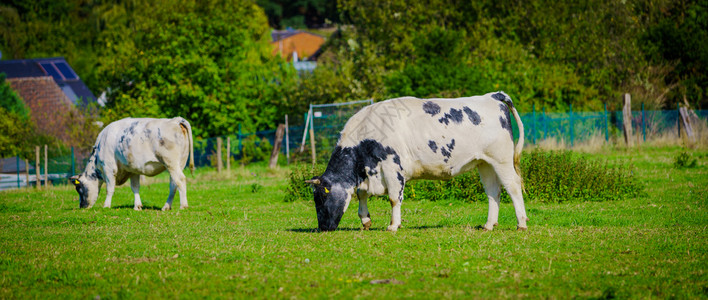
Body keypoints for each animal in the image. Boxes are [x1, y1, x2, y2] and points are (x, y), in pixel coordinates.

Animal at [306, 91, 528, 232]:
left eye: (321, 198)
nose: (322, 228)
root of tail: (493, 95)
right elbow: (361, 194)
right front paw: (366, 220)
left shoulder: (392, 167)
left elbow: (394, 198)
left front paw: (393, 225)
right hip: (485, 163)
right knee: (493, 192)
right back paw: (489, 225)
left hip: (501, 159)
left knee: (513, 186)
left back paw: (521, 223)